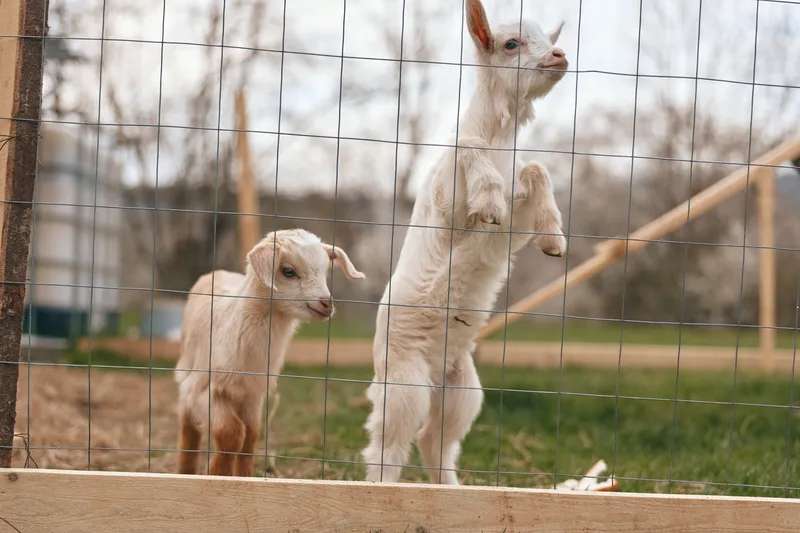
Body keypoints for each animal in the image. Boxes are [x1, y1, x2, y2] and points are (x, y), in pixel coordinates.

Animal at [175, 229, 365, 476]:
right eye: (288, 271)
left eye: (326, 271)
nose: (326, 304)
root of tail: (219, 272)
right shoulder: (206, 389)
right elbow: (230, 433)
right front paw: (218, 474)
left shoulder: (253, 394)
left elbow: (250, 437)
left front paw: (243, 477)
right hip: (187, 370)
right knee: (187, 421)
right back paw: (184, 471)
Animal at [362, 0, 569, 485]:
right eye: (511, 43)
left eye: (548, 39)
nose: (560, 56)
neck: (499, 147)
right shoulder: (448, 210)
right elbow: (467, 143)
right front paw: (489, 200)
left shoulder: (517, 218)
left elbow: (536, 169)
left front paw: (553, 237)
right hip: (404, 384)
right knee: (387, 447)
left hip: (462, 391)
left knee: (436, 443)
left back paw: (452, 489)